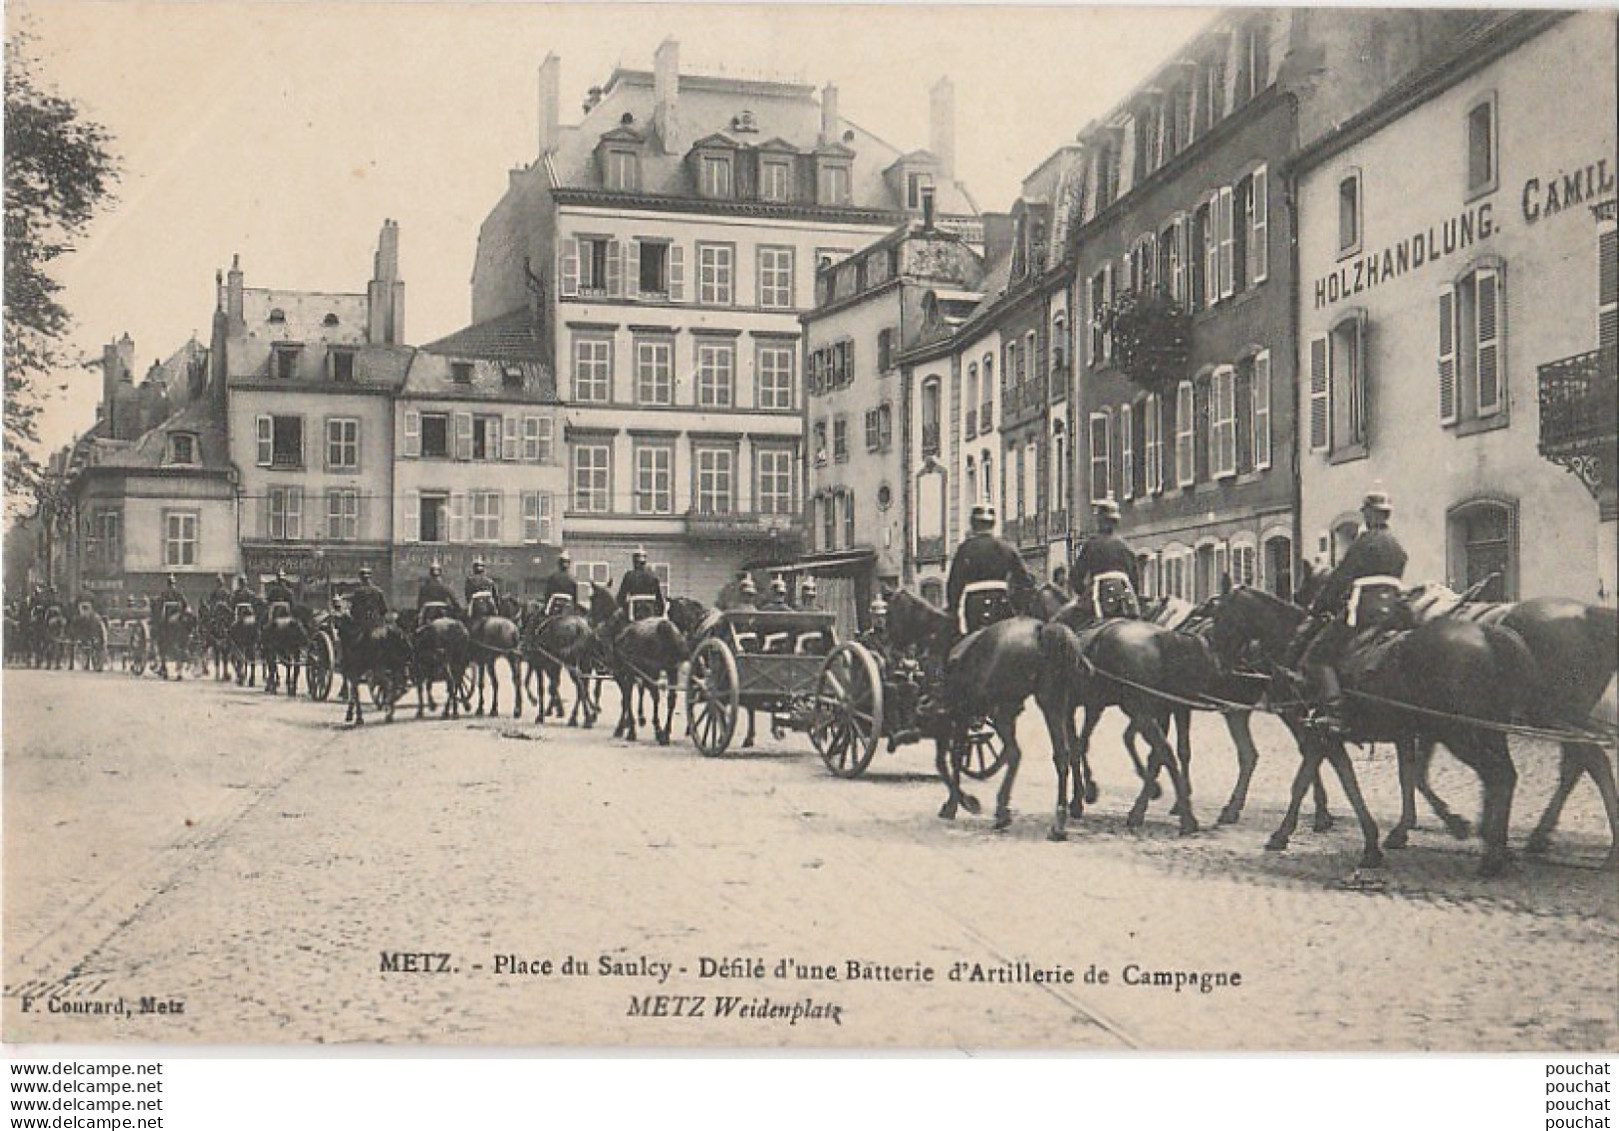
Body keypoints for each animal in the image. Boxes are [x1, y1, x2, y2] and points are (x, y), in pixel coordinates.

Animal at [880, 592, 1081, 841]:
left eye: (891, 612)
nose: (889, 647)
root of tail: (1041, 630)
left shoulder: (952, 719)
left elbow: (948, 762)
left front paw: (960, 803)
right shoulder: (960, 720)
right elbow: (952, 760)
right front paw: (959, 802)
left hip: (1004, 710)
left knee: (1015, 753)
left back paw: (1003, 812)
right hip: (1051, 703)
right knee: (1061, 755)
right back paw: (1057, 823)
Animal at [1211, 588, 1534, 880]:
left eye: (1220, 619)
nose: (1221, 667)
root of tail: (1488, 635)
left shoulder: (1321, 737)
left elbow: (1308, 783)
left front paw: (1282, 834)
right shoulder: (1357, 738)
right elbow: (1377, 780)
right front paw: (1379, 840)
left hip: (1461, 734)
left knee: (1498, 777)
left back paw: (1491, 855)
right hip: (1487, 734)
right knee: (1504, 777)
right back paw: (1497, 848)